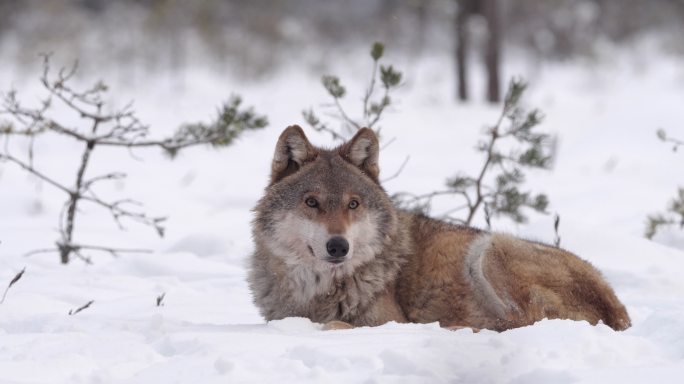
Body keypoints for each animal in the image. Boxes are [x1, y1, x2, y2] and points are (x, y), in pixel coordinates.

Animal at [246, 127, 632, 332]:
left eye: (353, 204)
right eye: (311, 202)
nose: (338, 246)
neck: (317, 291)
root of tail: (619, 310)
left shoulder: (391, 321)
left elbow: (344, 325)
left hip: (487, 251)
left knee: (521, 322)